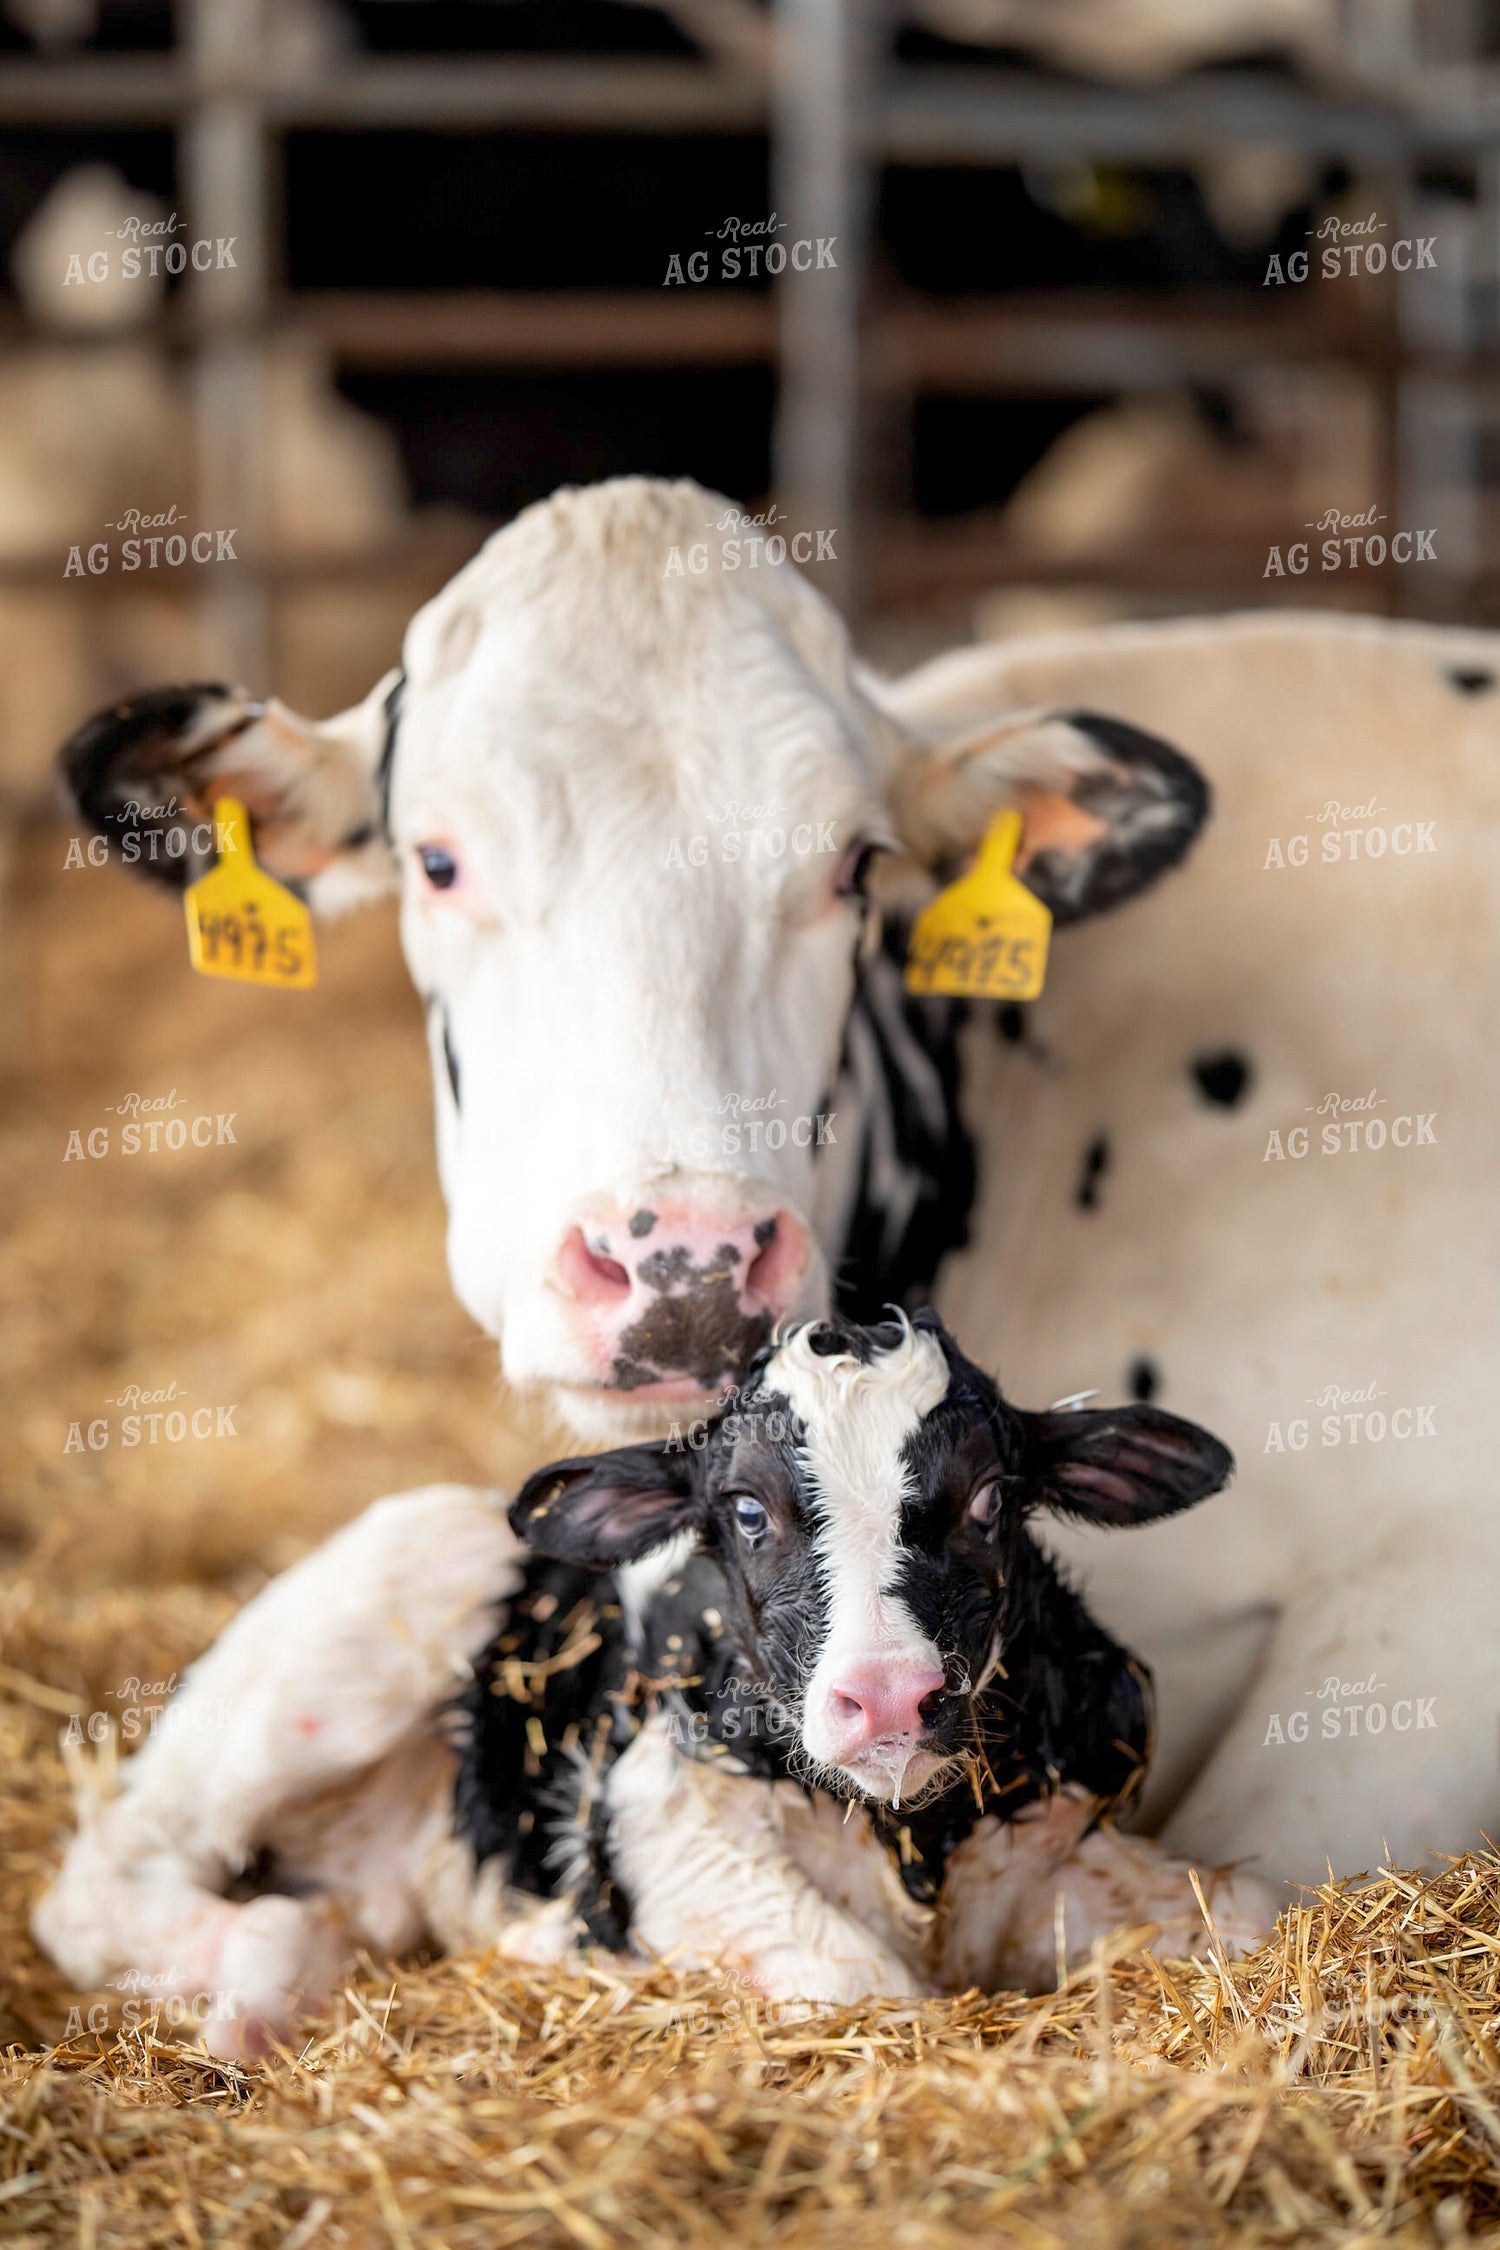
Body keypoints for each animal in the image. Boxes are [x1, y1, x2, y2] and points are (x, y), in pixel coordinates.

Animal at [34, 1313, 1274, 2057]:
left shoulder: (1060, 1834)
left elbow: (1246, 1907)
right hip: (355, 1637)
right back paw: (248, 1993)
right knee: (98, 1885)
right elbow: (858, 1981)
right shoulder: (654, 1819)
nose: (888, 1700)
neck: (914, 1841)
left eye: (989, 1502)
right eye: (746, 1510)